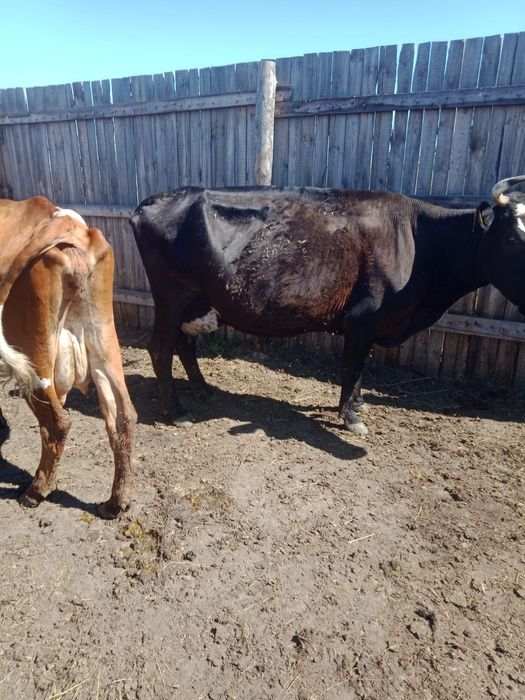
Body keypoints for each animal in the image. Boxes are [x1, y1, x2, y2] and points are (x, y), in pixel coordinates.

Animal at [0, 197, 137, 518]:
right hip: (103, 342)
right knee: (123, 416)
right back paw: (116, 502)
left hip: (35, 352)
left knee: (57, 423)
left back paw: (36, 491)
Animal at [130, 176, 525, 436]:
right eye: (511, 237)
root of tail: (151, 201)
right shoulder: (362, 319)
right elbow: (351, 366)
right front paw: (352, 417)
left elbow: (360, 366)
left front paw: (359, 403)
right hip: (172, 296)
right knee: (160, 348)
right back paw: (177, 412)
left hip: (197, 301)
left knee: (184, 343)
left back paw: (203, 389)